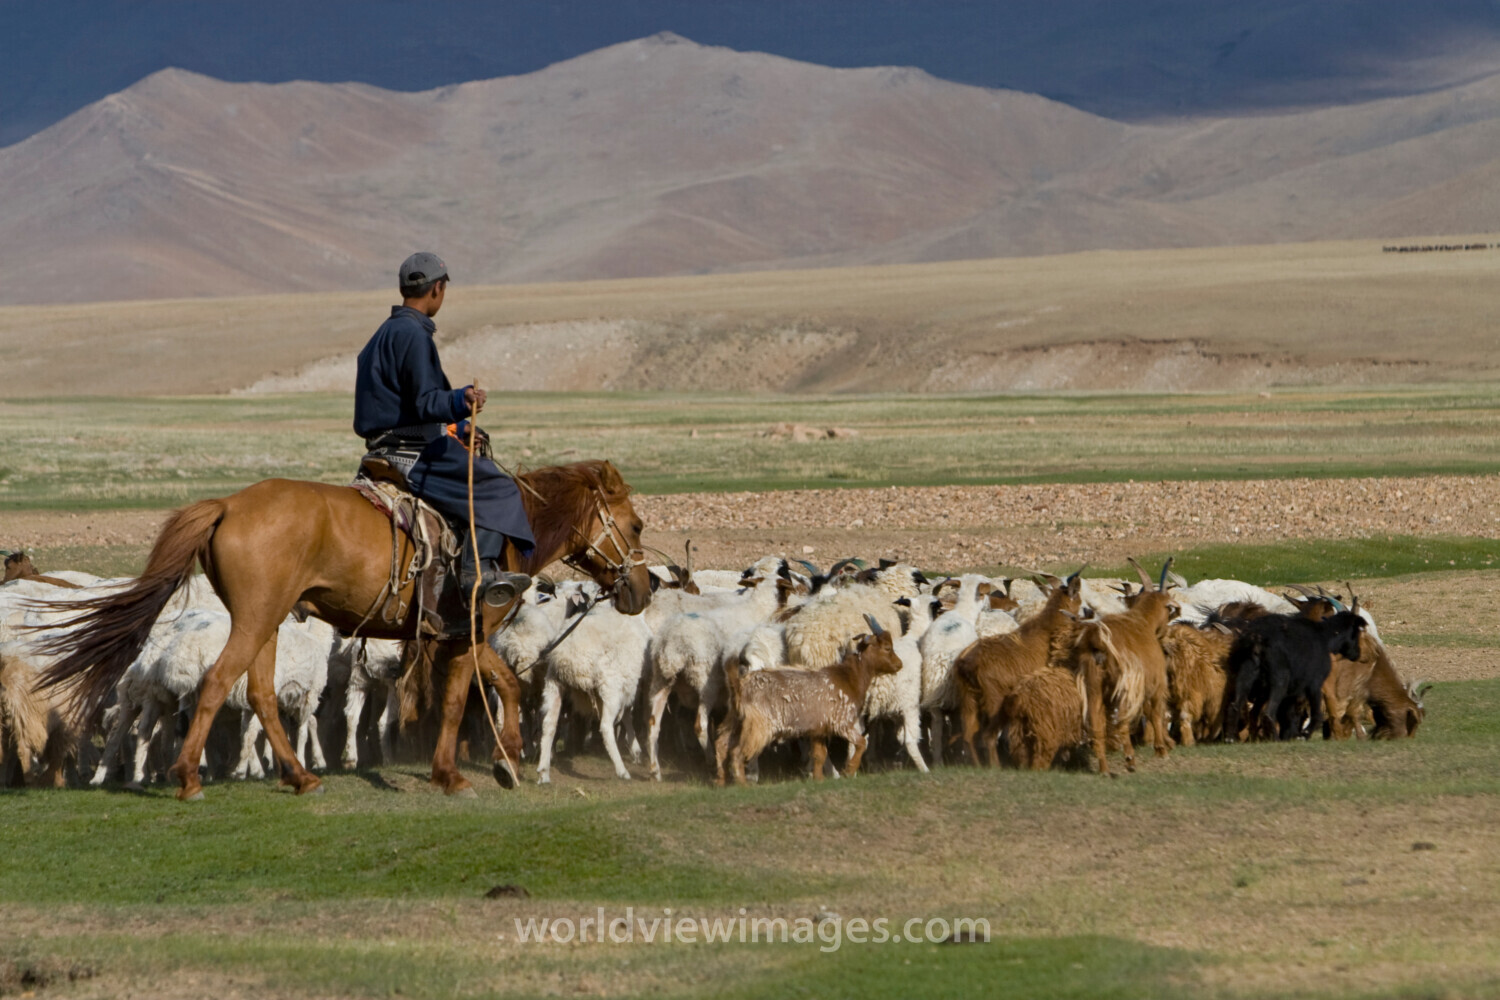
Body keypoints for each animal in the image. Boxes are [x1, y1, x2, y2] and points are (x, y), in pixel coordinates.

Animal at [535, 582, 652, 784]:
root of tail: (567, 655)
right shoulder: (631, 683)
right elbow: (628, 713)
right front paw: (635, 748)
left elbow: (626, 714)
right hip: (610, 686)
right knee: (605, 726)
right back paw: (622, 771)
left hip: (554, 683)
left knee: (548, 723)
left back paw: (544, 772)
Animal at [715, 616, 902, 786]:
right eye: (887, 647)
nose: (899, 664)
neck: (848, 678)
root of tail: (739, 685)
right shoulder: (842, 722)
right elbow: (861, 743)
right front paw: (848, 771)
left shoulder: (819, 729)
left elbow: (819, 755)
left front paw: (818, 779)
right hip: (759, 725)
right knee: (737, 752)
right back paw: (742, 783)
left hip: (735, 718)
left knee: (721, 744)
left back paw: (721, 782)